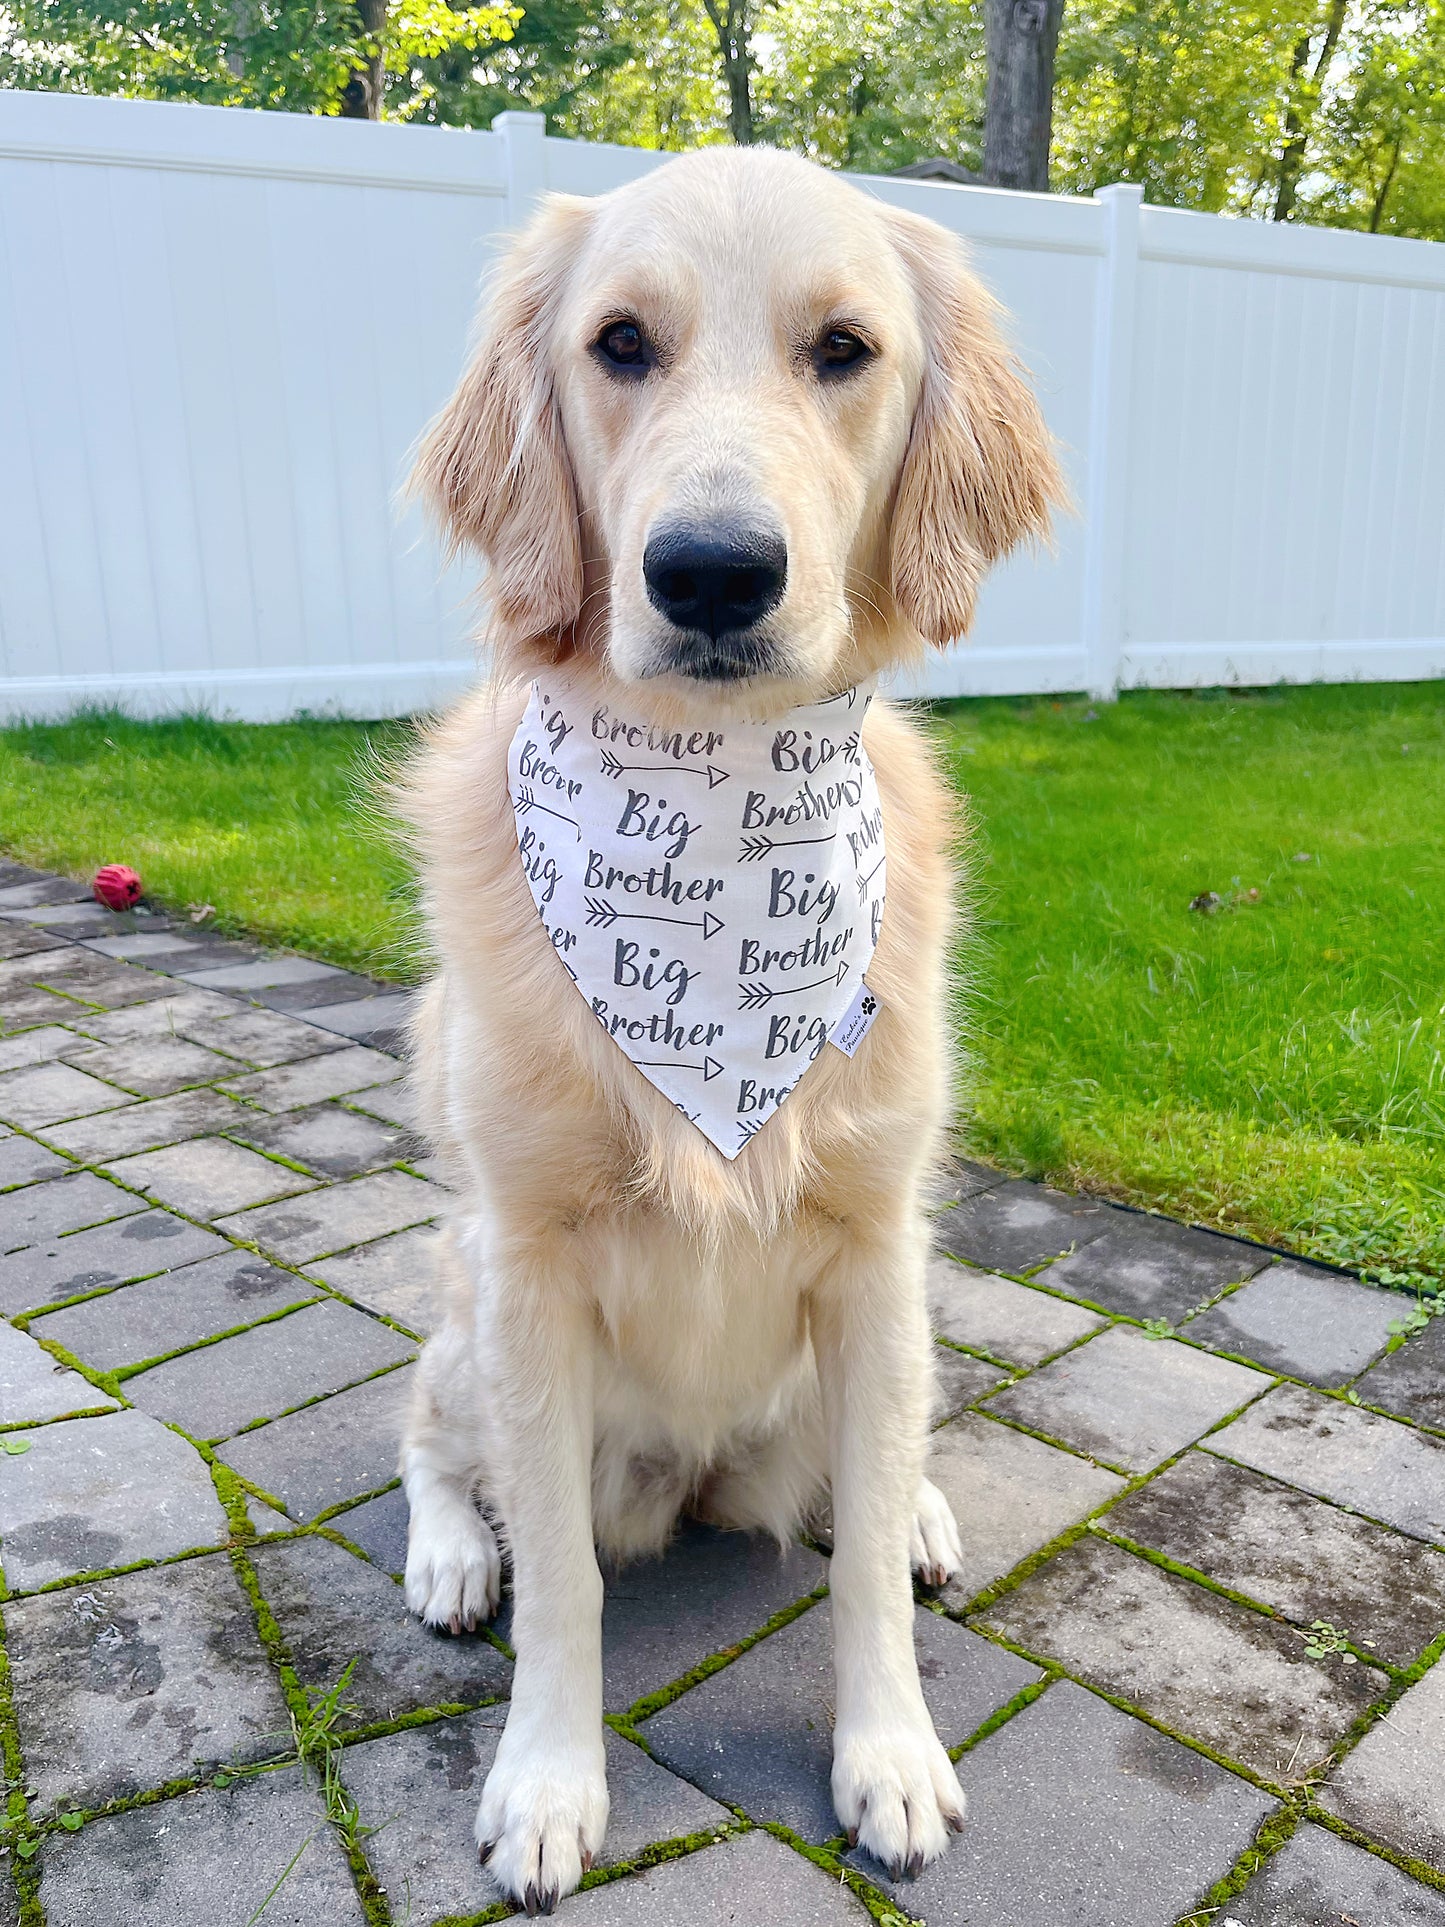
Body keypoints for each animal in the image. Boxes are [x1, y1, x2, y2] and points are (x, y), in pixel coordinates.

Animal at [396, 146, 1063, 1911]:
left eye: (844, 350)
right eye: (620, 344)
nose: (709, 572)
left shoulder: (879, 1244)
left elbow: (866, 1577)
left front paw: (886, 1752)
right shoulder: (528, 1260)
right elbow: (562, 1575)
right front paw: (546, 1782)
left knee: (869, 1463)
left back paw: (914, 1509)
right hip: (461, 1305)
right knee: (429, 1434)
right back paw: (448, 1548)